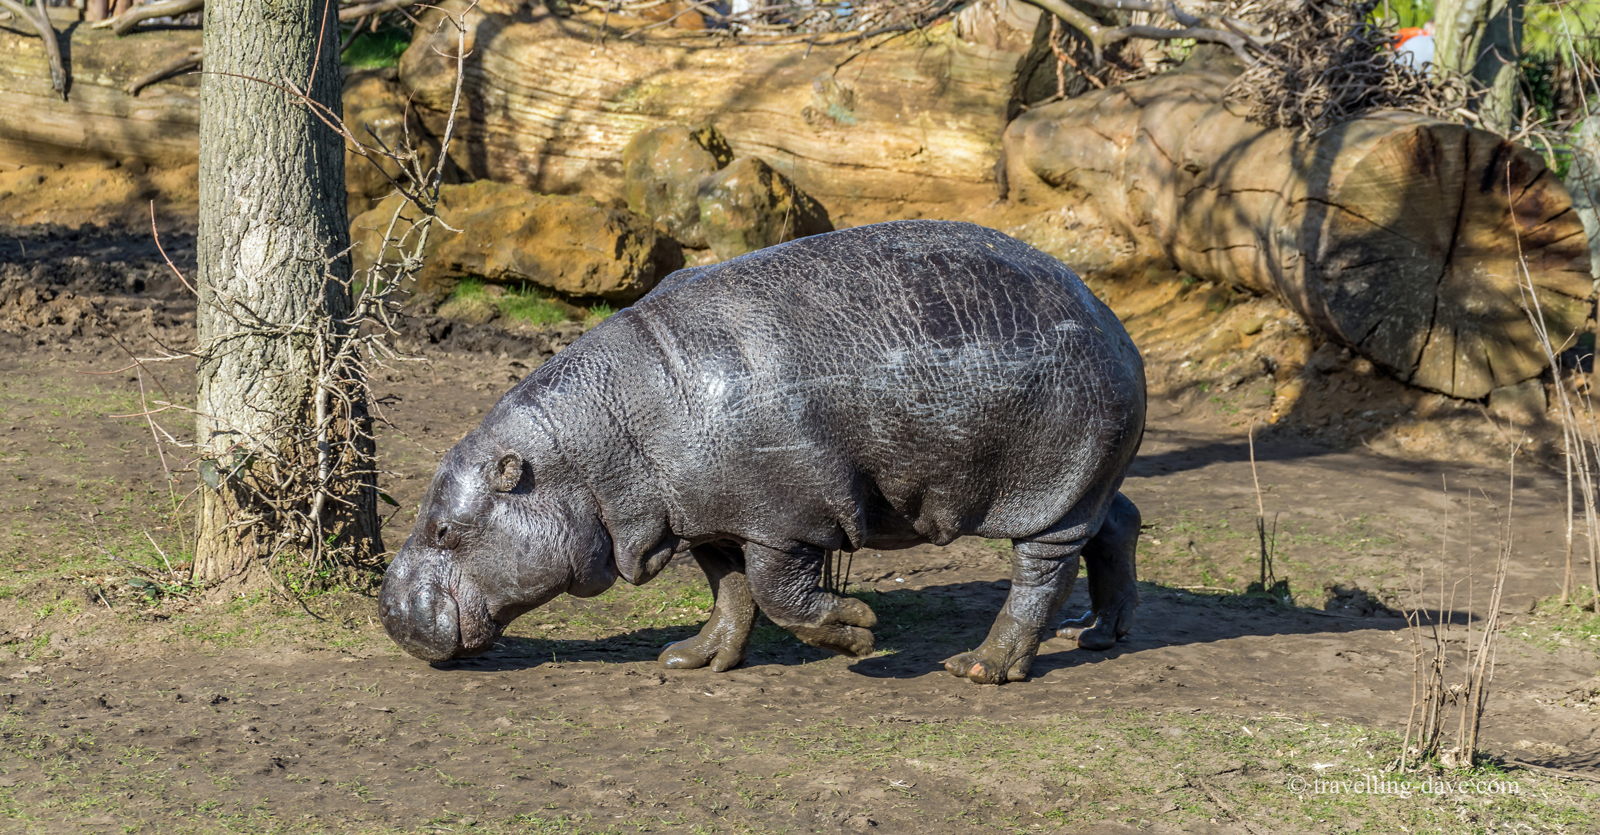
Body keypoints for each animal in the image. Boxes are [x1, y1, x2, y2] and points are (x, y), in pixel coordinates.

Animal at [379, 220, 1145, 684]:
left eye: (443, 530)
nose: (387, 610)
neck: (597, 442)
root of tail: (1113, 321)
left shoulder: (786, 520)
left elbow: (778, 594)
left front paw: (862, 633)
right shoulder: (710, 517)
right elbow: (731, 590)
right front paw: (691, 658)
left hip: (1048, 487)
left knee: (1042, 571)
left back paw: (980, 666)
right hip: (1087, 481)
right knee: (1118, 525)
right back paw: (1095, 635)